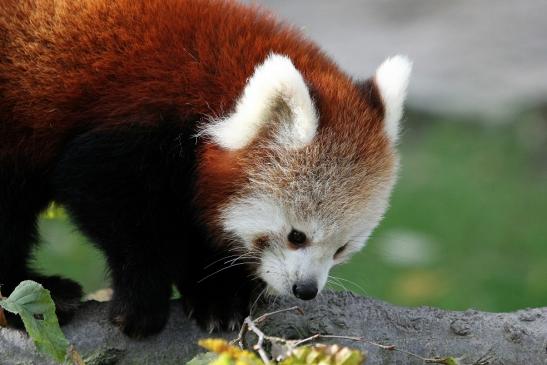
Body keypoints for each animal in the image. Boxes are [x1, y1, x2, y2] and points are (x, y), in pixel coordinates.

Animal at [0, 0, 412, 336]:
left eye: (342, 248)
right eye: (297, 236)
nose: (306, 290)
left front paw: (218, 296)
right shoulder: (135, 124)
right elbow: (111, 203)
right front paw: (141, 304)